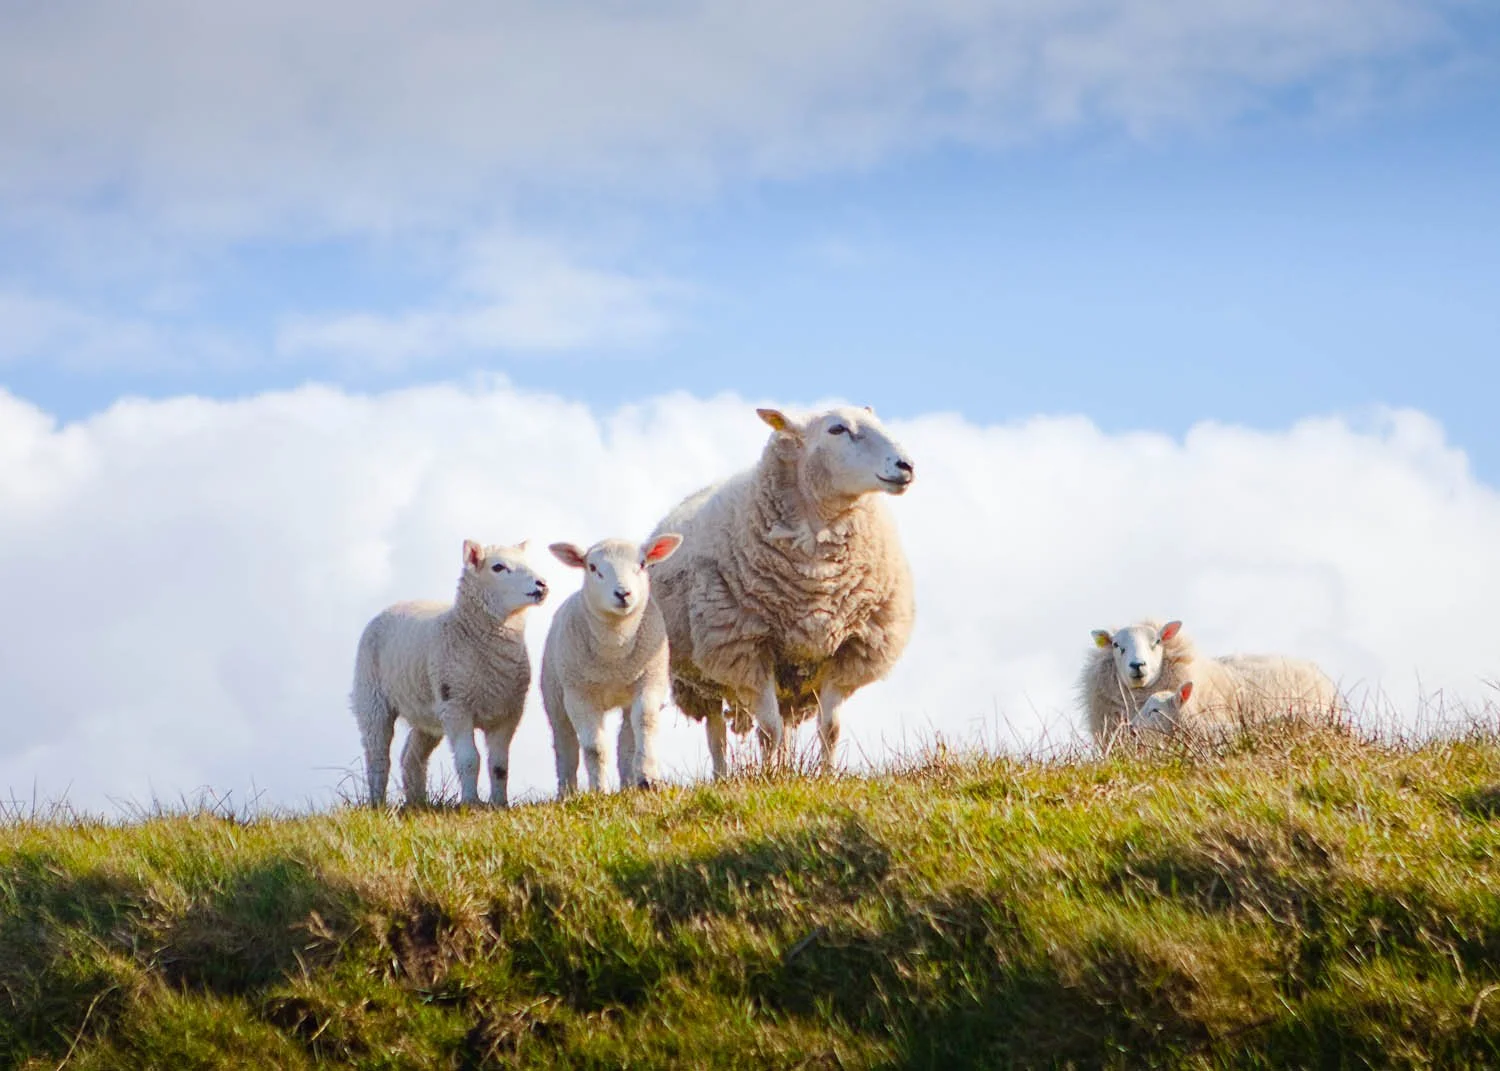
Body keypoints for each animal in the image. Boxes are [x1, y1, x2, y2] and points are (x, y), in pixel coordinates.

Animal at [351, 539, 548, 807]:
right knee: (378, 755)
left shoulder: (508, 712)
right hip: (372, 698)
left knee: (411, 756)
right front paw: (471, 803)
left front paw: (500, 804)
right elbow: (469, 760)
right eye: (498, 567)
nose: (542, 584)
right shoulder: (457, 706)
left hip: (429, 712)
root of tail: (394, 605)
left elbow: (499, 765)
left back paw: (417, 804)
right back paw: (377, 804)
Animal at [540, 534, 683, 795]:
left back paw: (628, 783)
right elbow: (594, 747)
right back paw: (567, 792)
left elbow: (645, 722)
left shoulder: (651, 679)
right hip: (554, 696)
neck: (614, 653)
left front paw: (648, 778)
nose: (623, 593)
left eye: (642, 564)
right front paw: (599, 790)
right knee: (565, 744)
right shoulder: (580, 695)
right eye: (593, 567)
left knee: (626, 740)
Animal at [648, 404, 916, 776]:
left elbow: (829, 729)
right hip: (701, 675)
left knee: (785, 726)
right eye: (837, 429)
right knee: (717, 733)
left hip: (792, 681)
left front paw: (826, 776)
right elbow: (767, 730)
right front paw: (768, 777)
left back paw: (788, 769)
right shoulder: (747, 648)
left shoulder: (848, 649)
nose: (906, 466)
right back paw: (722, 776)